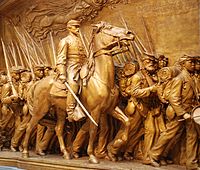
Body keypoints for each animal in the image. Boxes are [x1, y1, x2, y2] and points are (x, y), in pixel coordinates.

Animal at [21, 21, 134, 163]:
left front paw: (117, 144)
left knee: (58, 129)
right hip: (40, 110)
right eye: (109, 27)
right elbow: (93, 130)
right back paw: (25, 152)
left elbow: (127, 121)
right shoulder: (95, 111)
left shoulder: (111, 108)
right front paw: (92, 156)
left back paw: (65, 153)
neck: (102, 78)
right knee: (30, 127)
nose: (129, 33)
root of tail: (37, 83)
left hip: (60, 110)